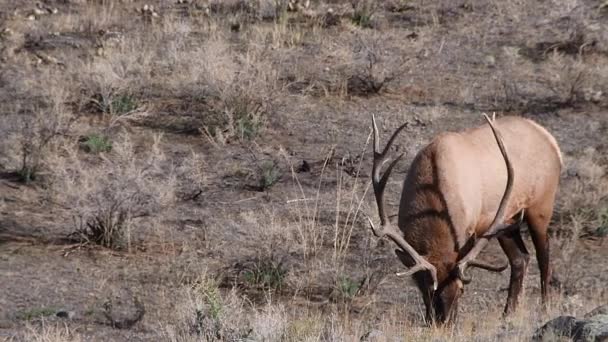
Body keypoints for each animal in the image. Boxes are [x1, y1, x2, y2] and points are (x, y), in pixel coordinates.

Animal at [366, 114, 560, 324]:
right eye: (429, 291)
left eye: (461, 290)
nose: (445, 323)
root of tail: (551, 141)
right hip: (506, 221)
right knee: (520, 258)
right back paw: (507, 313)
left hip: (541, 205)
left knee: (544, 256)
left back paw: (545, 308)